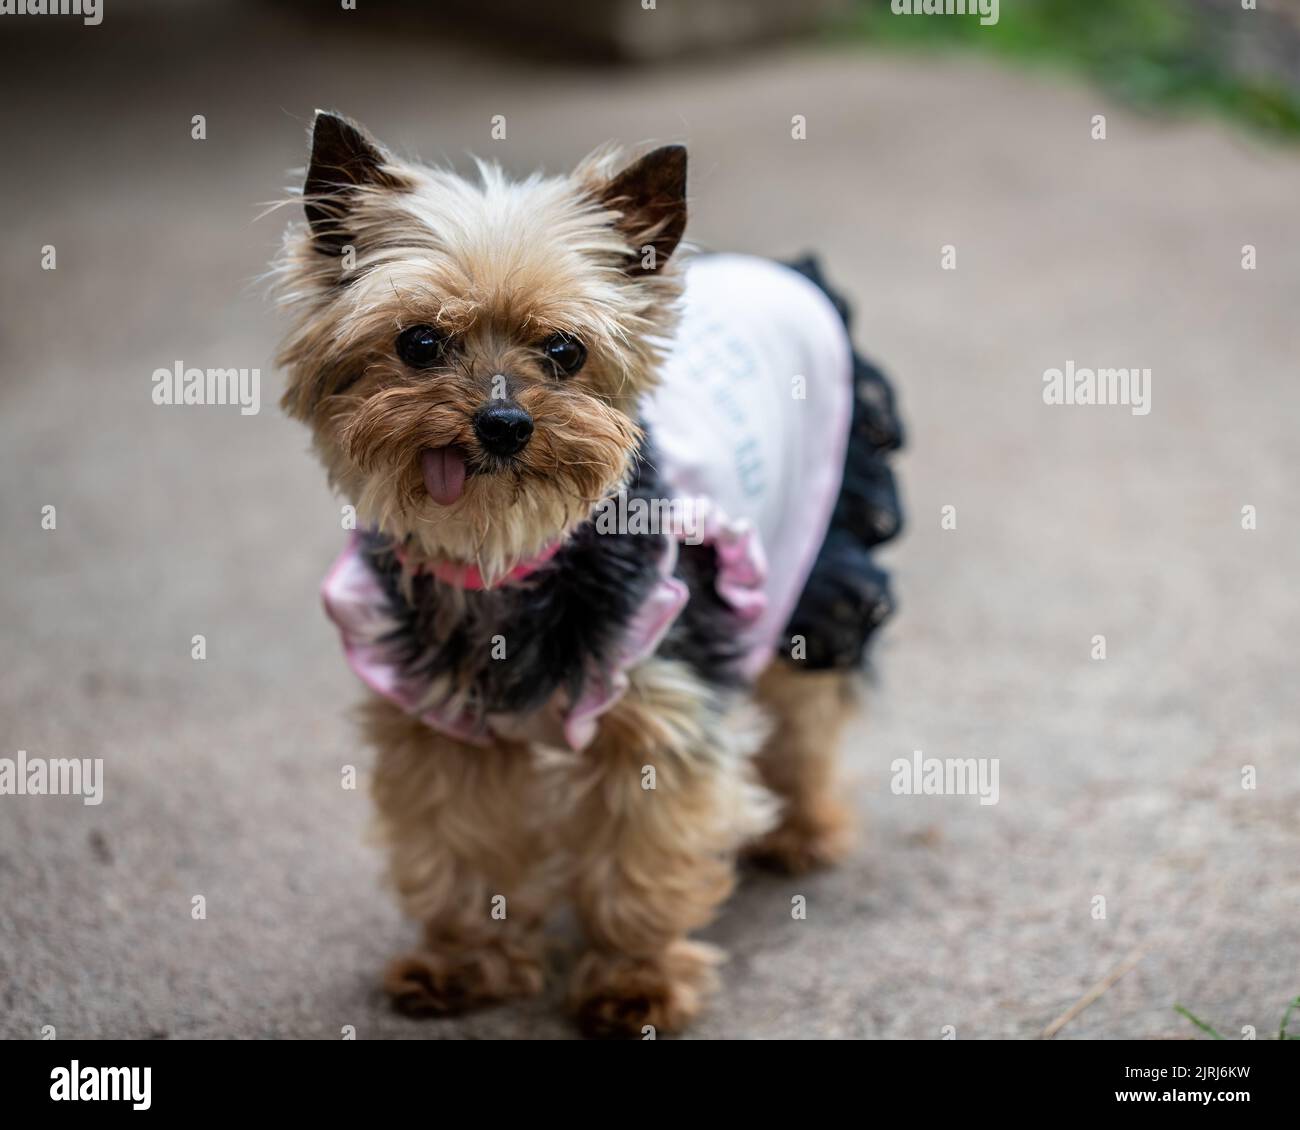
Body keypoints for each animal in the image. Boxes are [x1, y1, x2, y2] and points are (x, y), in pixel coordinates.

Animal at [274, 110, 904, 1035]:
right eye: (418, 343)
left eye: (565, 351)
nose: (503, 422)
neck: (506, 555)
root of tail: (795, 270)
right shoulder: (441, 723)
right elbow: (461, 848)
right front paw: (466, 965)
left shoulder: (659, 713)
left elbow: (639, 864)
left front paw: (634, 983)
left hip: (822, 551)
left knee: (810, 704)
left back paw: (805, 829)